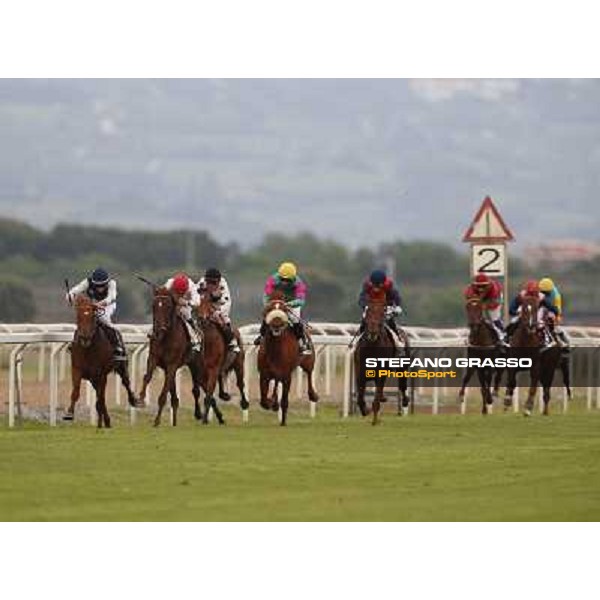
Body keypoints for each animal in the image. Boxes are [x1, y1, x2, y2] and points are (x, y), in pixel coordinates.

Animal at [63, 296, 142, 426]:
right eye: (78, 316)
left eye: (93, 317)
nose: (85, 338)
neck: (88, 349)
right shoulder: (77, 369)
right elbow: (76, 391)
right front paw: (69, 413)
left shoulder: (101, 373)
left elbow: (101, 398)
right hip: (93, 378)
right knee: (100, 396)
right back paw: (104, 420)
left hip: (121, 366)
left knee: (125, 382)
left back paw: (132, 401)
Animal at [138, 288, 199, 424]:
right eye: (154, 306)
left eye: (168, 307)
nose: (159, 330)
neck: (165, 337)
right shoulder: (153, 358)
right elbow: (147, 376)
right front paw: (140, 399)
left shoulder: (172, 364)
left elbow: (164, 391)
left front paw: (157, 420)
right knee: (175, 398)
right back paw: (175, 422)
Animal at [256, 292, 318, 426]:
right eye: (269, 309)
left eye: (284, 309)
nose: (276, 324)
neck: (275, 350)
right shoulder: (264, 374)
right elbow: (263, 400)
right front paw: (271, 403)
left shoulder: (287, 376)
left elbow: (284, 401)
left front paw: (283, 421)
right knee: (275, 383)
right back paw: (274, 401)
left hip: (308, 361)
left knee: (309, 374)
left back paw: (313, 395)